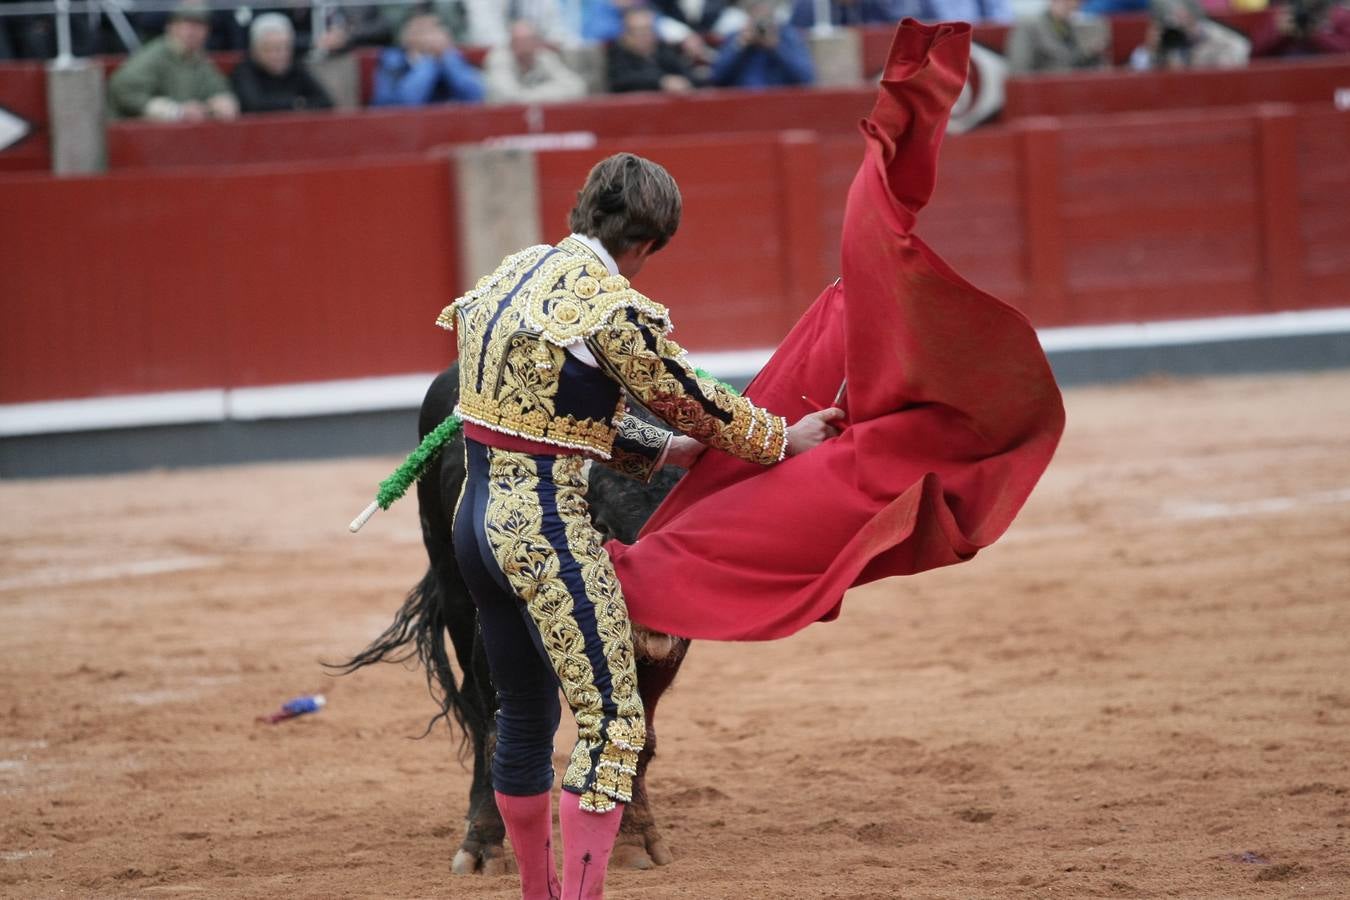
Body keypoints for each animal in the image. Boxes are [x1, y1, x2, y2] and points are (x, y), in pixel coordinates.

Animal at [336, 364, 691, 874]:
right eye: (602, 524)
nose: (658, 619)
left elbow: (639, 733)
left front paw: (636, 839)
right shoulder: (491, 636)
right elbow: (493, 729)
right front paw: (483, 847)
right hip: (453, 590)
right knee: (476, 710)